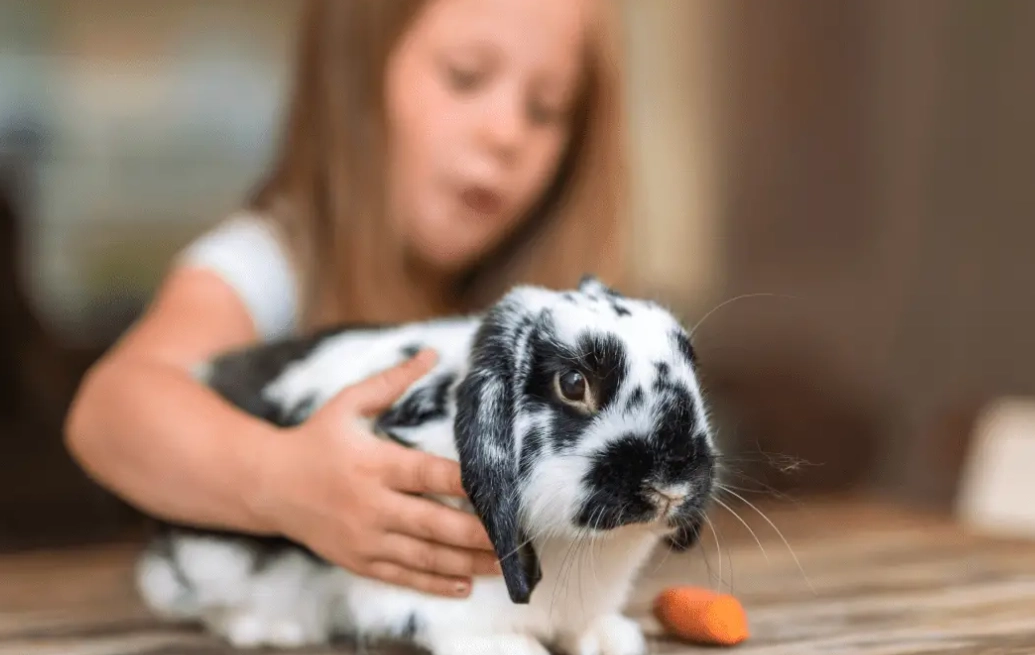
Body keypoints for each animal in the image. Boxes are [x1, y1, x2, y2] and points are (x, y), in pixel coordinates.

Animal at [134, 274, 717, 655]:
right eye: (573, 384)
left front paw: (608, 639)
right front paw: (516, 650)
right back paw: (271, 630)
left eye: (692, 364)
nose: (672, 482)